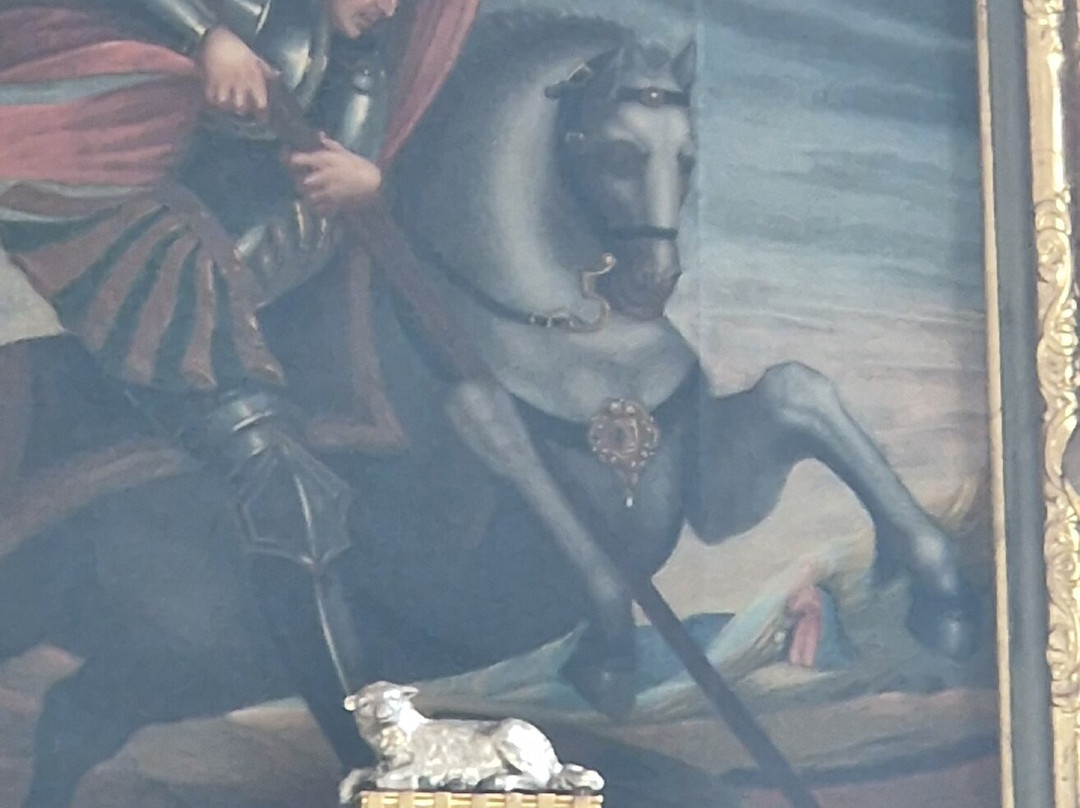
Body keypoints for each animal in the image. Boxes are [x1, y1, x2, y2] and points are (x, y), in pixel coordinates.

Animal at [0, 13, 980, 808]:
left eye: (687, 157)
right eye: (616, 152)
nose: (652, 283)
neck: (562, 328)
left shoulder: (704, 487)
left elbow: (797, 388)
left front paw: (941, 595)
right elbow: (493, 421)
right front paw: (609, 654)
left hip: (163, 668)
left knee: (73, 718)